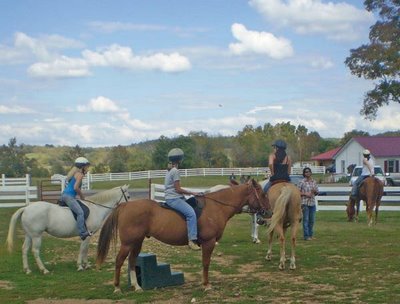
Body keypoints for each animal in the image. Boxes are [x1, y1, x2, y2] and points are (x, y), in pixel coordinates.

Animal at [95, 179, 270, 294]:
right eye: (262, 194)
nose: (268, 213)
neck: (217, 206)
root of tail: (124, 205)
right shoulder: (209, 242)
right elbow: (206, 263)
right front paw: (206, 285)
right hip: (128, 243)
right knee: (119, 261)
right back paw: (117, 287)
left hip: (137, 242)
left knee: (131, 261)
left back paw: (137, 286)